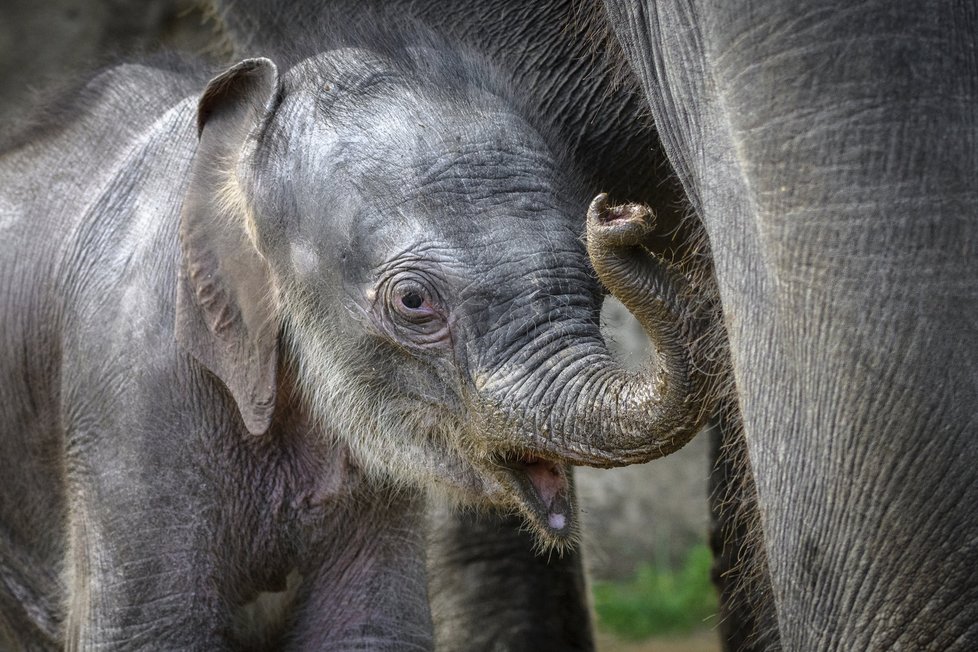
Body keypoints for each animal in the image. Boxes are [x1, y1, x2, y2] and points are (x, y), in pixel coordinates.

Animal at [0, 24, 708, 648]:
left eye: (592, 285)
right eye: (414, 302)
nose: (620, 213)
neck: (248, 139)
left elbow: (367, 633)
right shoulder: (129, 385)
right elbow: (152, 634)